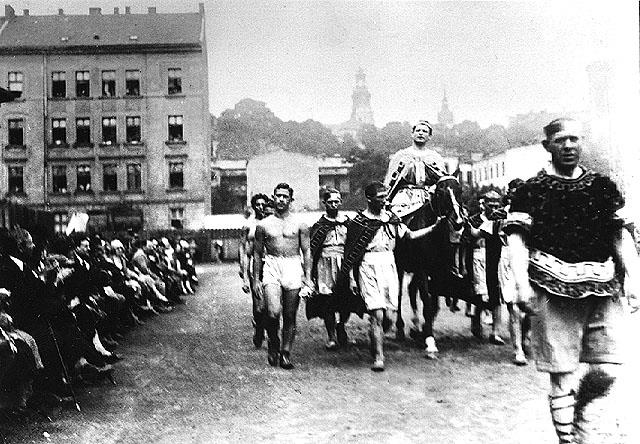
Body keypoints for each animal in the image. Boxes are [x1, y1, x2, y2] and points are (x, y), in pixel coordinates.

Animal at [392, 175, 472, 360]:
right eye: (440, 192)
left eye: (460, 190)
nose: (458, 222)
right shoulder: (422, 271)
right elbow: (427, 304)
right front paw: (429, 342)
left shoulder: (437, 272)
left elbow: (433, 305)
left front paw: (423, 332)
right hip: (400, 266)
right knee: (399, 294)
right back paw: (400, 328)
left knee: (411, 289)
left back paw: (415, 327)